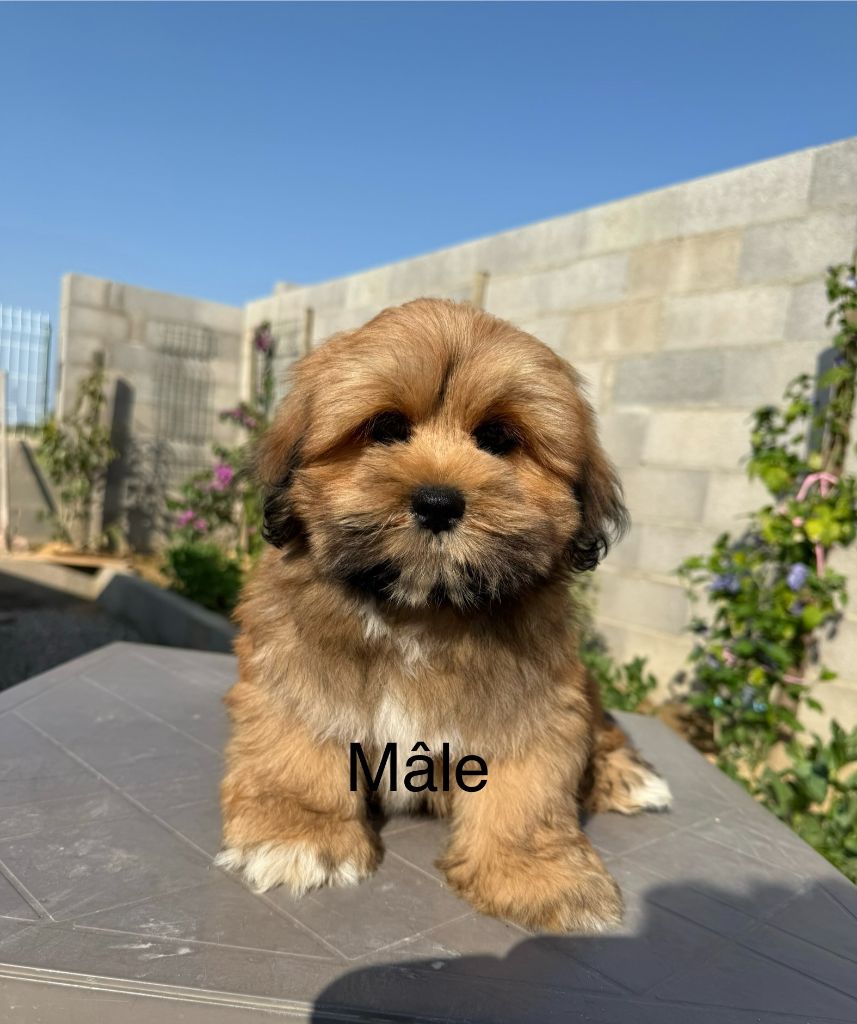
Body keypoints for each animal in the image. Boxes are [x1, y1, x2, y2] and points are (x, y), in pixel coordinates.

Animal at [217, 298, 671, 933]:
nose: (437, 502)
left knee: (603, 729)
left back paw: (625, 776)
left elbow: (527, 787)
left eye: (498, 438)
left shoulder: (535, 698)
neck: (423, 610)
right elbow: (298, 738)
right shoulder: (294, 665)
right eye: (384, 428)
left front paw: (536, 873)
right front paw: (296, 833)